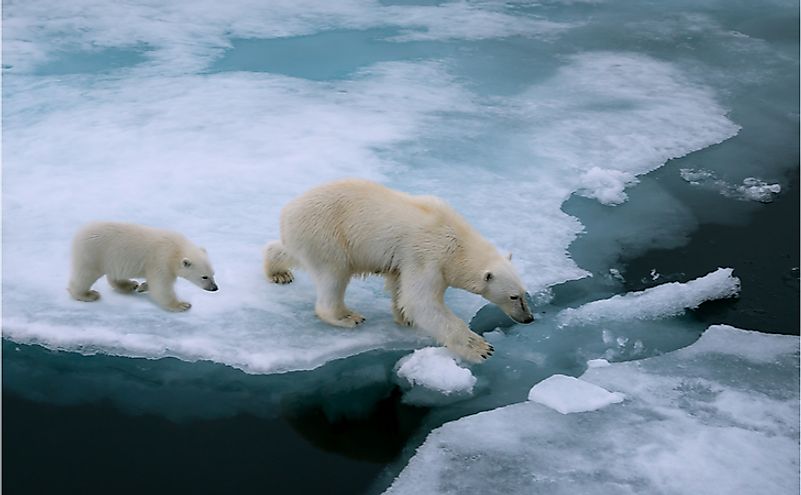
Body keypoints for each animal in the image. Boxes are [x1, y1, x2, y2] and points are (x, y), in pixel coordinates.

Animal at [68, 221, 218, 311]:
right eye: (204, 277)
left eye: (213, 274)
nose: (215, 288)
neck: (176, 249)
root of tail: (79, 234)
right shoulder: (161, 260)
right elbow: (161, 287)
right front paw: (182, 305)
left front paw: (143, 286)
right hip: (93, 254)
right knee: (85, 275)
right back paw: (87, 294)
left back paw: (130, 285)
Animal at [263, 179, 534, 363]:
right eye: (514, 296)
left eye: (525, 293)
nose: (529, 318)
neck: (457, 241)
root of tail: (287, 213)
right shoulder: (428, 255)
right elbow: (421, 301)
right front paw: (481, 348)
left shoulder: (407, 259)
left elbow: (400, 286)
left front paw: (404, 317)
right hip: (328, 236)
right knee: (334, 275)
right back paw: (347, 316)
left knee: (290, 252)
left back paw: (278, 271)